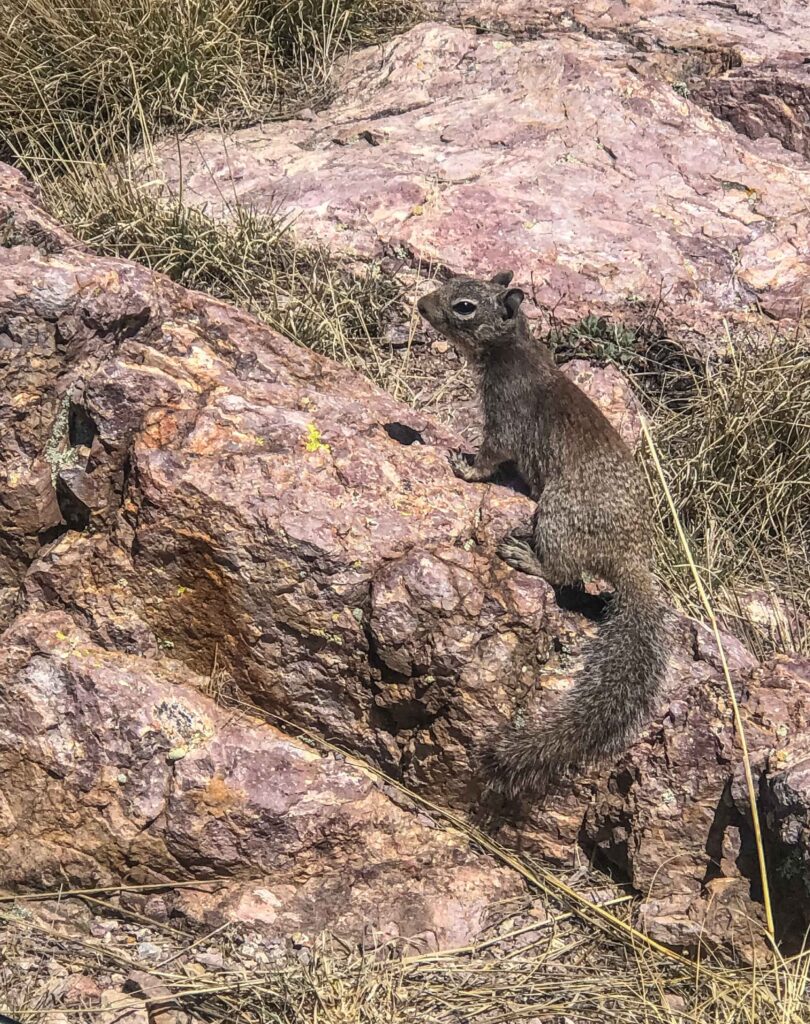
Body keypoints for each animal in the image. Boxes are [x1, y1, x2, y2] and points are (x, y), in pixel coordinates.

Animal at [415, 272, 667, 798]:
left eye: (464, 306)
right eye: (449, 281)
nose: (422, 305)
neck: (512, 348)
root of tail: (629, 557)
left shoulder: (504, 417)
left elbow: (491, 454)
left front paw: (464, 468)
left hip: (554, 516)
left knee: (566, 575)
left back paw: (525, 556)